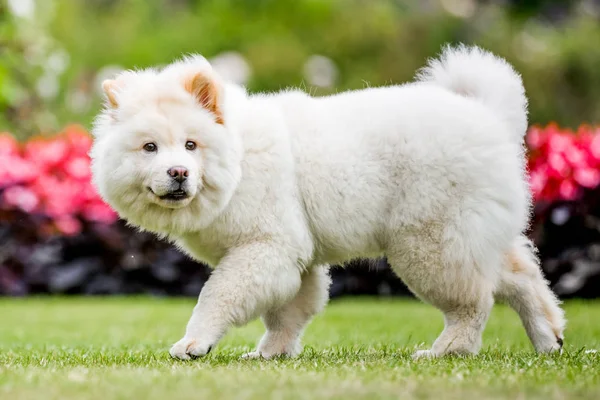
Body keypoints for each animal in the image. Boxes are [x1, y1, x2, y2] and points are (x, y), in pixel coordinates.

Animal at [91, 44, 564, 360]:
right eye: (150, 148)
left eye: (191, 145)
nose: (178, 173)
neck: (240, 162)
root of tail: (489, 117)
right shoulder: (294, 258)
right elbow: (288, 312)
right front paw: (270, 354)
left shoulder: (265, 247)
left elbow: (218, 296)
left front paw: (194, 343)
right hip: (473, 232)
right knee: (521, 274)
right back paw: (549, 338)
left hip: (429, 244)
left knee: (474, 302)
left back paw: (444, 351)